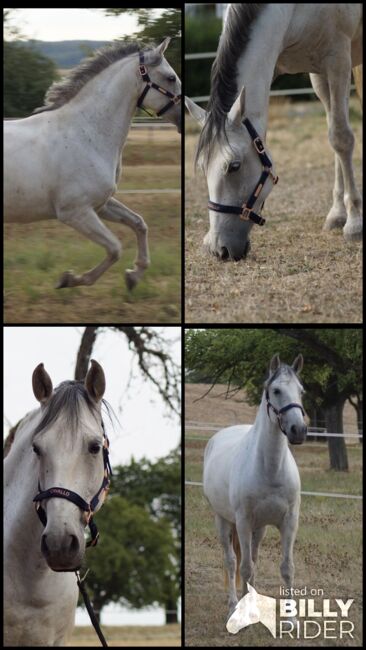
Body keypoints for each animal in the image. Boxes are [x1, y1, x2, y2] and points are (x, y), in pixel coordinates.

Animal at [4, 36, 182, 288]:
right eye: (170, 77)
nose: (184, 116)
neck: (85, 132)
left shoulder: (100, 204)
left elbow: (139, 223)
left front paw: (134, 275)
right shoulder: (75, 212)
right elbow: (115, 248)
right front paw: (69, 279)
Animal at [187, 3, 362, 260]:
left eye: (234, 166)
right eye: (202, 167)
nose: (219, 249)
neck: (293, 11)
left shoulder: (338, 60)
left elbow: (341, 138)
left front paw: (354, 223)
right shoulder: (315, 72)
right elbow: (334, 136)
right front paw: (338, 214)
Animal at [203, 354, 306, 616]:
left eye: (301, 391)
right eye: (276, 390)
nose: (299, 430)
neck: (270, 470)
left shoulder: (289, 521)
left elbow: (286, 568)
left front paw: (291, 620)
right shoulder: (243, 521)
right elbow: (244, 567)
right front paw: (243, 611)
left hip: (259, 529)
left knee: (252, 559)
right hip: (223, 520)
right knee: (231, 561)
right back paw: (233, 604)